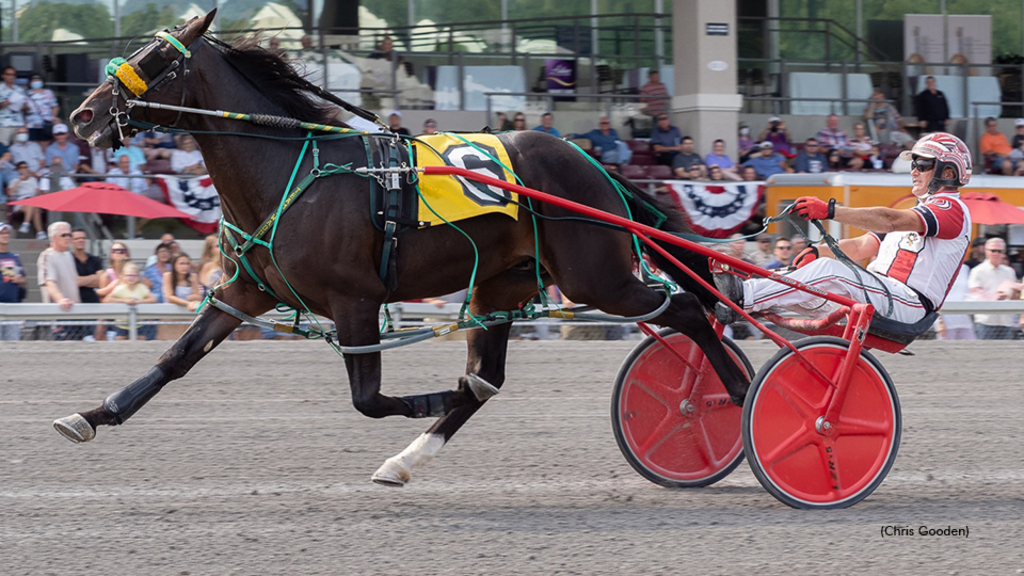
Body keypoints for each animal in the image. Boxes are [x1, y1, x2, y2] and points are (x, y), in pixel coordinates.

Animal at [56, 11, 749, 481]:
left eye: (154, 58)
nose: (82, 116)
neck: (291, 171)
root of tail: (591, 162)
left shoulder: (355, 300)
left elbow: (368, 399)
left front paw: (431, 396)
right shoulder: (244, 291)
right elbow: (176, 358)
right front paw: (90, 416)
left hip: (596, 276)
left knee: (687, 309)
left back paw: (739, 399)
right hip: (503, 282)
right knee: (489, 376)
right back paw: (407, 459)